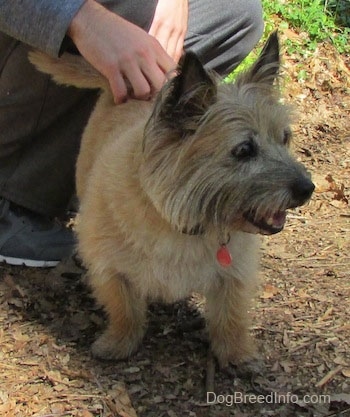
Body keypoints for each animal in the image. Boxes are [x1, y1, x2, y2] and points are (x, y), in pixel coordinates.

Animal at [30, 31, 314, 364]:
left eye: (285, 138)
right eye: (244, 150)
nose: (307, 188)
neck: (179, 224)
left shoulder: (234, 276)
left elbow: (229, 316)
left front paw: (237, 353)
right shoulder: (110, 269)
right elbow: (124, 309)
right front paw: (119, 342)